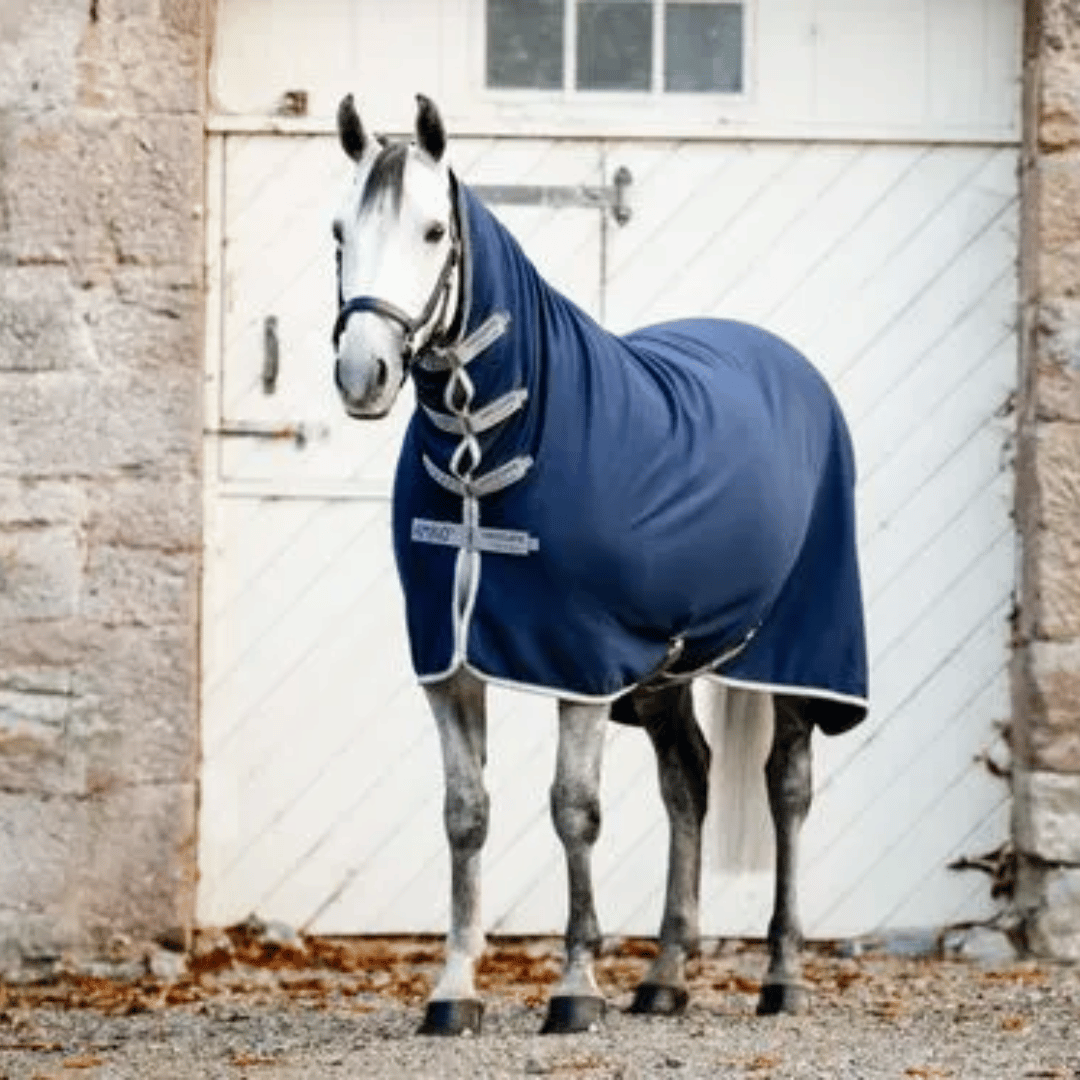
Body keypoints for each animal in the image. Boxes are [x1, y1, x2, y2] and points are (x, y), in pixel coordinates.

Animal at [329, 93, 869, 1036]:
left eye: (433, 231)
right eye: (338, 233)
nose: (364, 374)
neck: (486, 445)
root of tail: (785, 363)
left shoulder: (577, 662)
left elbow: (573, 811)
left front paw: (575, 986)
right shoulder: (450, 661)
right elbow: (464, 815)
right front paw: (453, 990)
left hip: (796, 652)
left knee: (787, 787)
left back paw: (781, 974)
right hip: (665, 670)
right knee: (687, 780)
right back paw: (664, 977)